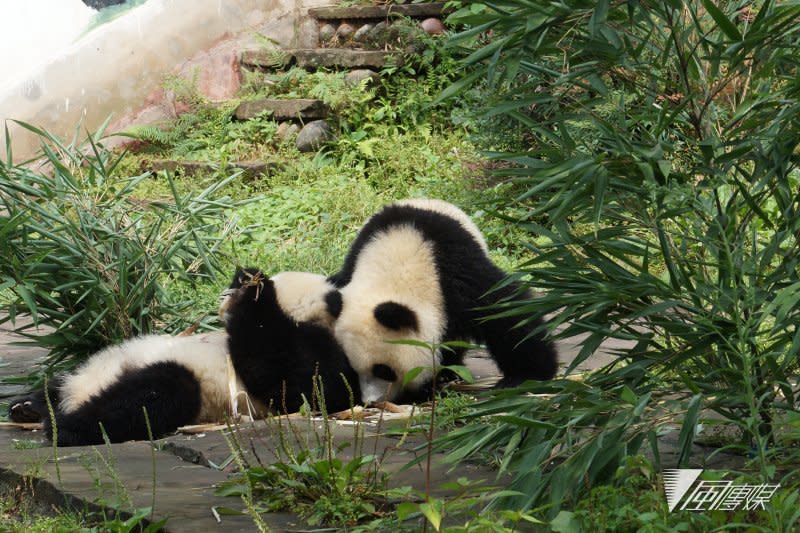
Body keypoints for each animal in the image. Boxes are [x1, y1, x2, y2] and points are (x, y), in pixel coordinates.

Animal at [7, 266, 358, 444]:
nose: (227, 294)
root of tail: (78, 393)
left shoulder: (310, 346)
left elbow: (295, 381)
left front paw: (254, 294)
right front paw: (246, 279)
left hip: (187, 385)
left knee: (146, 398)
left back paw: (64, 425)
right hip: (100, 367)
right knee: (61, 384)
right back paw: (28, 406)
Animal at [320, 197, 556, 402]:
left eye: (384, 370)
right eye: (353, 370)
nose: (371, 401)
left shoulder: (455, 273)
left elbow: (503, 310)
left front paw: (526, 376)